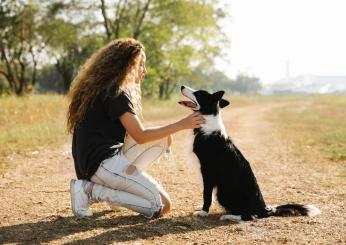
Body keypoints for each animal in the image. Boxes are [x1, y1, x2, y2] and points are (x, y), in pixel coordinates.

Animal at [180, 85, 320, 222]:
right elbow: (208, 194)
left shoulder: (208, 171)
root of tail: (265, 209)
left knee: (250, 216)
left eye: (199, 93)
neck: (207, 120)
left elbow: (207, 194)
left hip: (224, 192)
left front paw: (203, 212)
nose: (181, 86)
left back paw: (229, 216)